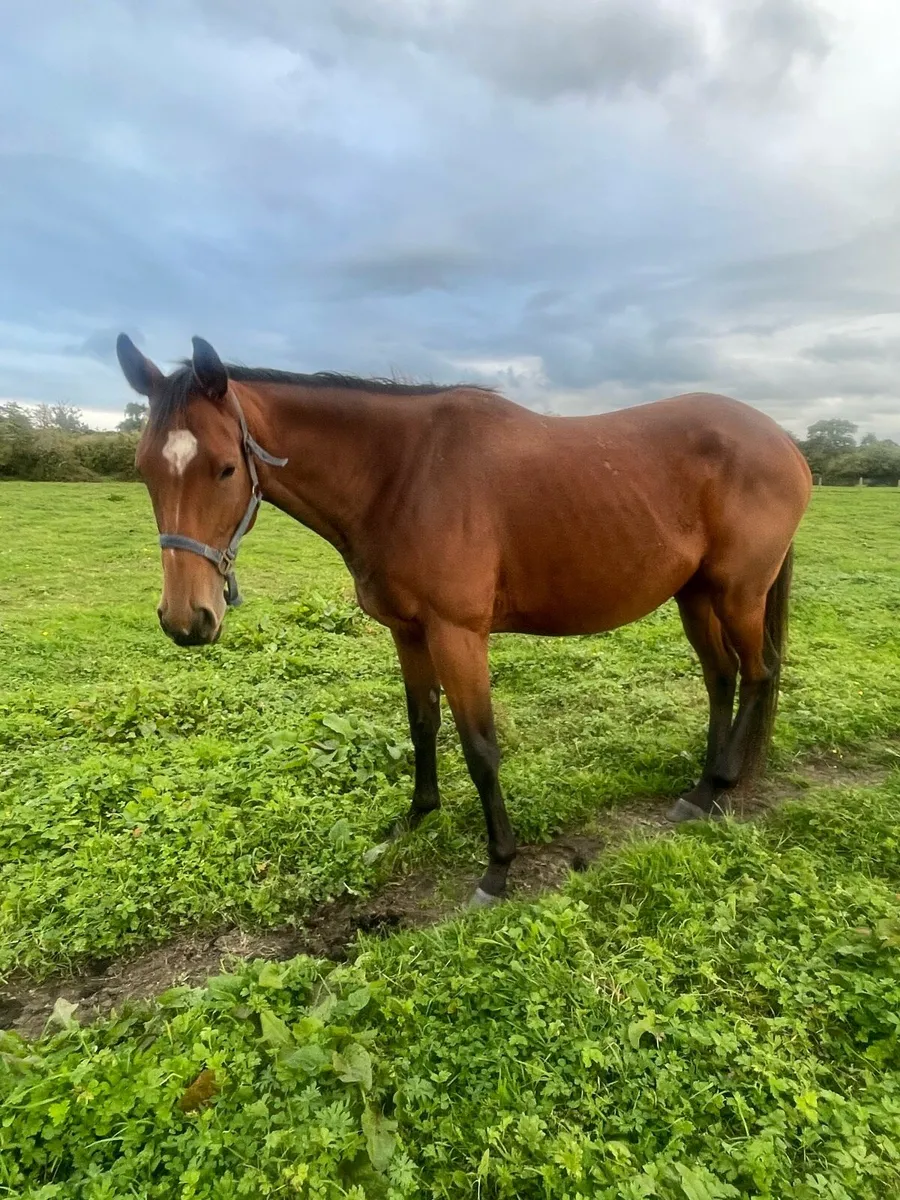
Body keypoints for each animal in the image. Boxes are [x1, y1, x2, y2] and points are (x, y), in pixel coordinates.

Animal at [116, 333, 812, 906]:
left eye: (226, 467)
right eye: (144, 468)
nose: (186, 620)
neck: (402, 474)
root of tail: (784, 442)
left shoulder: (458, 635)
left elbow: (480, 747)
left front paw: (497, 869)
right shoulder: (408, 631)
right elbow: (422, 723)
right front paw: (415, 817)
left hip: (738, 593)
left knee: (758, 673)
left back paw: (720, 785)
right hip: (695, 595)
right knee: (721, 678)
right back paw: (699, 790)